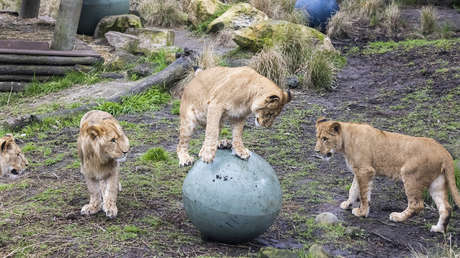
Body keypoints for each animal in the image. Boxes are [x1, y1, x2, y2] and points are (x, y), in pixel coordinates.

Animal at [314, 117, 460, 232]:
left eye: (325, 139)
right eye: (318, 138)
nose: (316, 151)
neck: (345, 140)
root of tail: (444, 152)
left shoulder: (365, 170)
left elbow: (363, 194)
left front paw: (362, 213)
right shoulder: (359, 171)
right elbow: (353, 189)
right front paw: (348, 204)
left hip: (410, 176)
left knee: (417, 205)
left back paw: (397, 217)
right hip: (437, 182)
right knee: (446, 208)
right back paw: (438, 229)